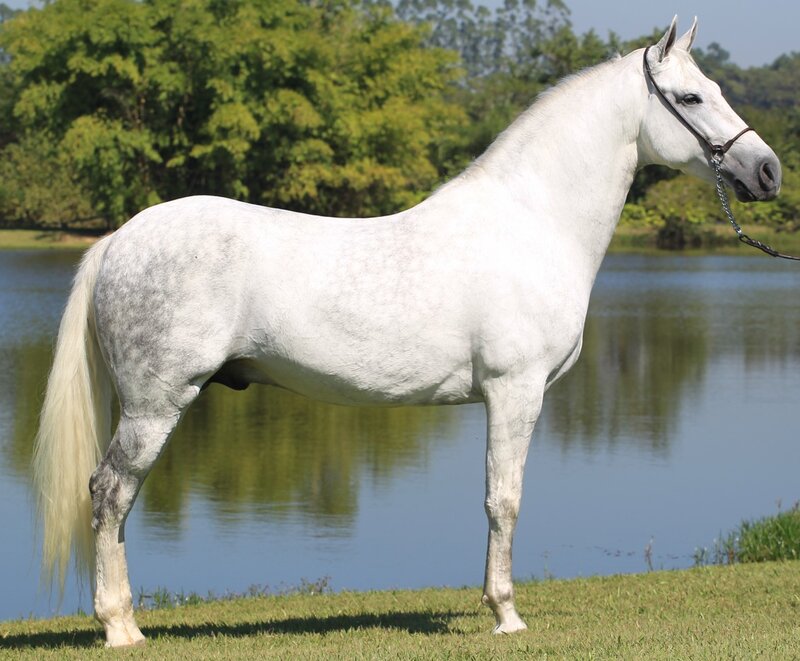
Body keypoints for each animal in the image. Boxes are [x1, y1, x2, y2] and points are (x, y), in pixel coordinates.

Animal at [33, 17, 781, 647]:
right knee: (110, 494)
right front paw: (506, 614)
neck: (532, 222)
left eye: (718, 89)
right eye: (690, 97)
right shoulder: (515, 391)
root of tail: (120, 238)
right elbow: (503, 499)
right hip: (157, 403)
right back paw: (121, 627)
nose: (768, 171)